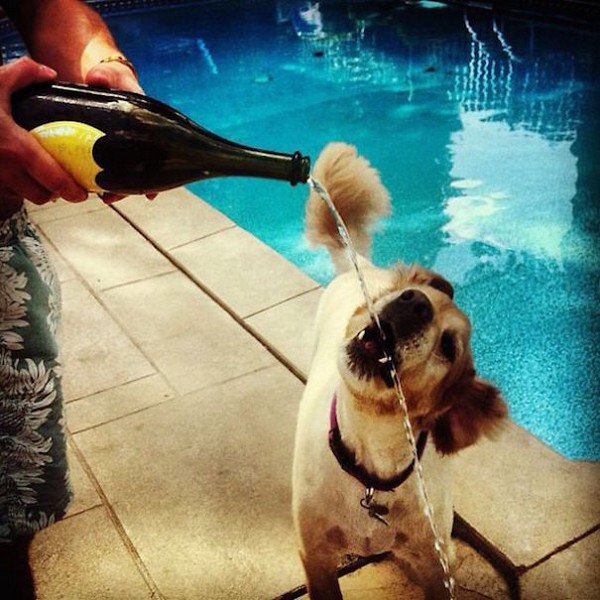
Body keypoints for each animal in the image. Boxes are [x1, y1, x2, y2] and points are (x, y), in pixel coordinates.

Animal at [290, 143, 506, 596]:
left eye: (449, 346)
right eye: (414, 293)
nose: (414, 302)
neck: (372, 470)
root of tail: (363, 266)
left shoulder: (434, 561)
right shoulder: (315, 558)